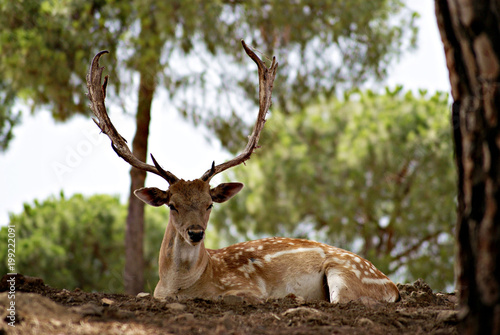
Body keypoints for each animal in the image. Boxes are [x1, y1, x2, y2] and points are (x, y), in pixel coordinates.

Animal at [85, 41, 398, 304]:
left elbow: (228, 297)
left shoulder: (246, 288)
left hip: (344, 272)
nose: (196, 232)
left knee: (343, 301)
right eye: (172, 205)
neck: (180, 285)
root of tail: (393, 286)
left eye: (209, 204)